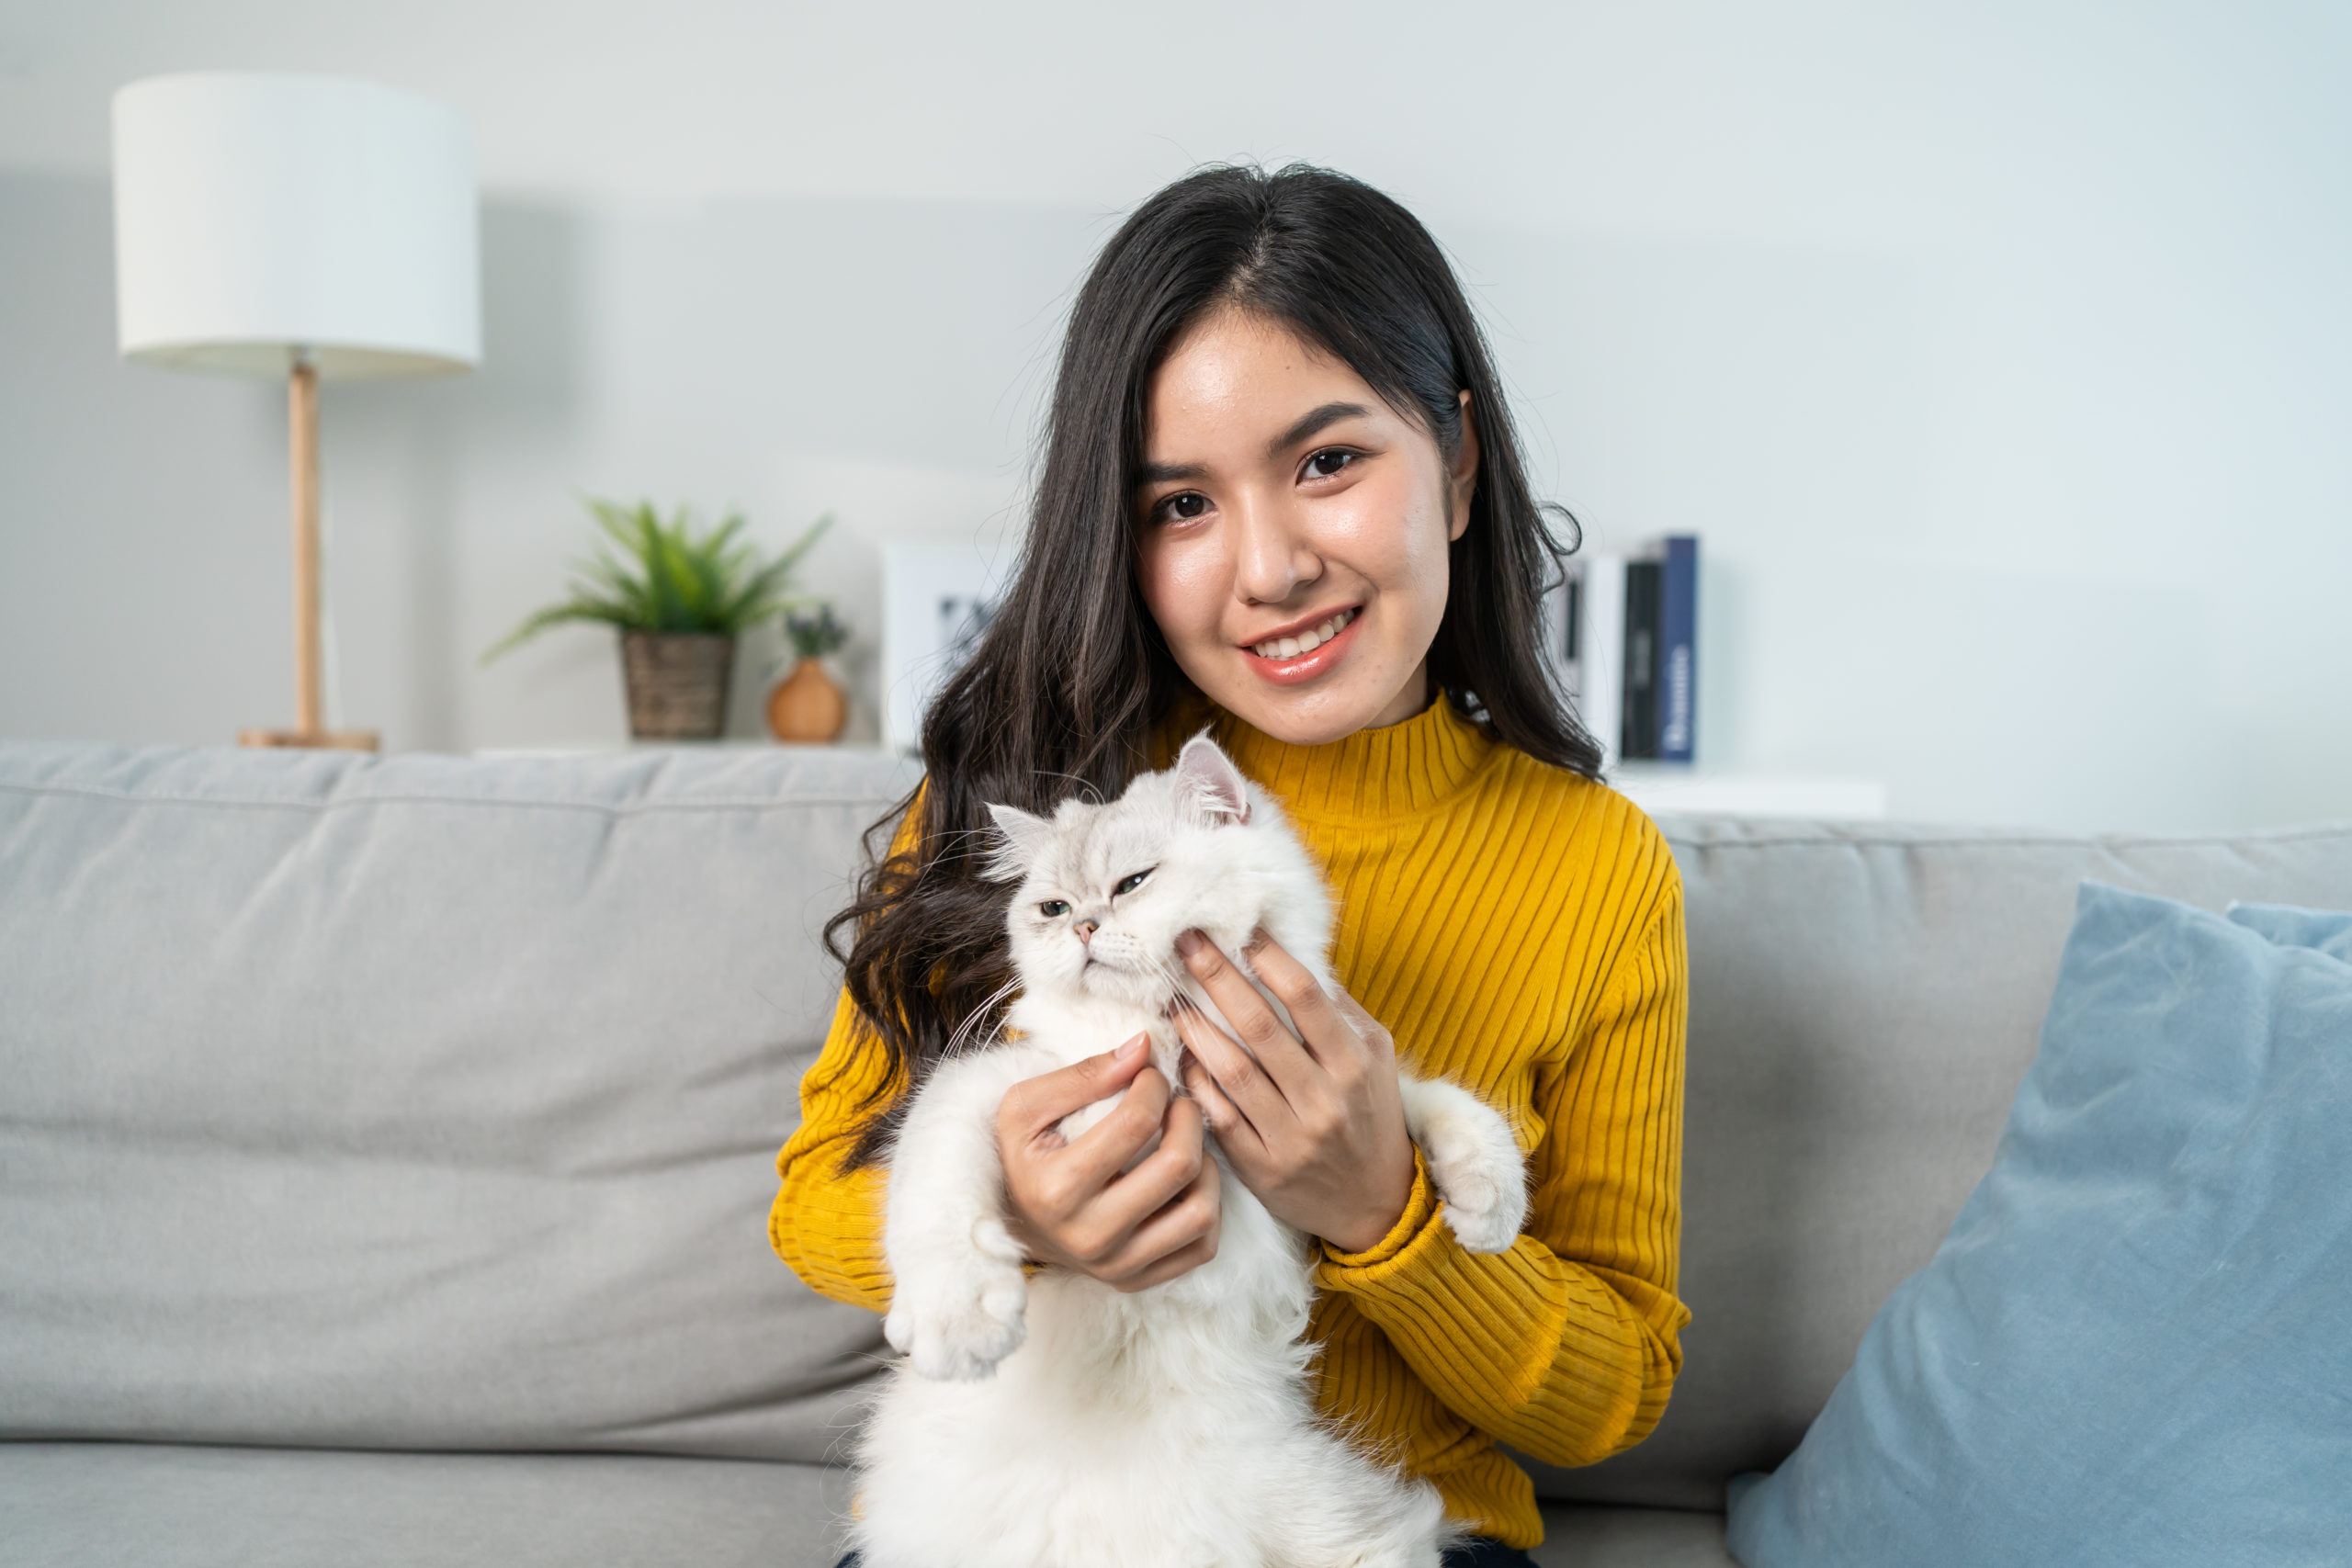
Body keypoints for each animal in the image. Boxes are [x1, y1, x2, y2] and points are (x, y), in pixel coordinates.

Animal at [855, 738, 1533, 1568]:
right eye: (1053, 909)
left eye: (1131, 883)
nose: (1083, 927)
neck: (1173, 1036)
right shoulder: (998, 1086)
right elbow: (935, 1185)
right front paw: (961, 1325)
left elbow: (1437, 1106)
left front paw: (1489, 1211)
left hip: (1349, 1537)